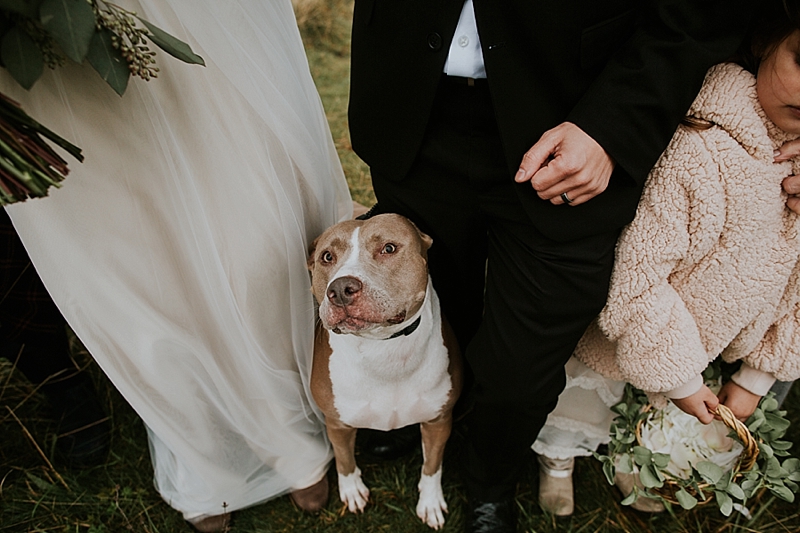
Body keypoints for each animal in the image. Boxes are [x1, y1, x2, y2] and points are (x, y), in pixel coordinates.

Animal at [308, 212, 462, 528]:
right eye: (327, 256)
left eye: (388, 248)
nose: (340, 290)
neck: (383, 350)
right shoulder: (337, 422)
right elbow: (344, 459)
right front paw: (352, 490)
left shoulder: (439, 420)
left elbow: (432, 465)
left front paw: (430, 503)